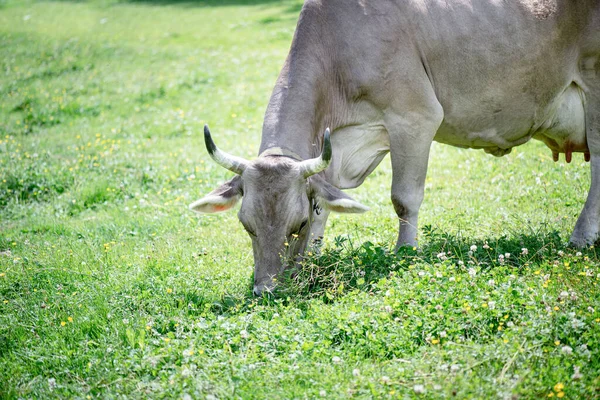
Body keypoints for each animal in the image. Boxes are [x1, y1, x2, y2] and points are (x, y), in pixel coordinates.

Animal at [189, 0, 600, 294]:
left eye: (297, 223)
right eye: (246, 225)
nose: (266, 291)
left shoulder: (414, 118)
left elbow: (404, 198)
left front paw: (404, 253)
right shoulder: (333, 152)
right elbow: (327, 202)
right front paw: (313, 262)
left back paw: (580, 239)